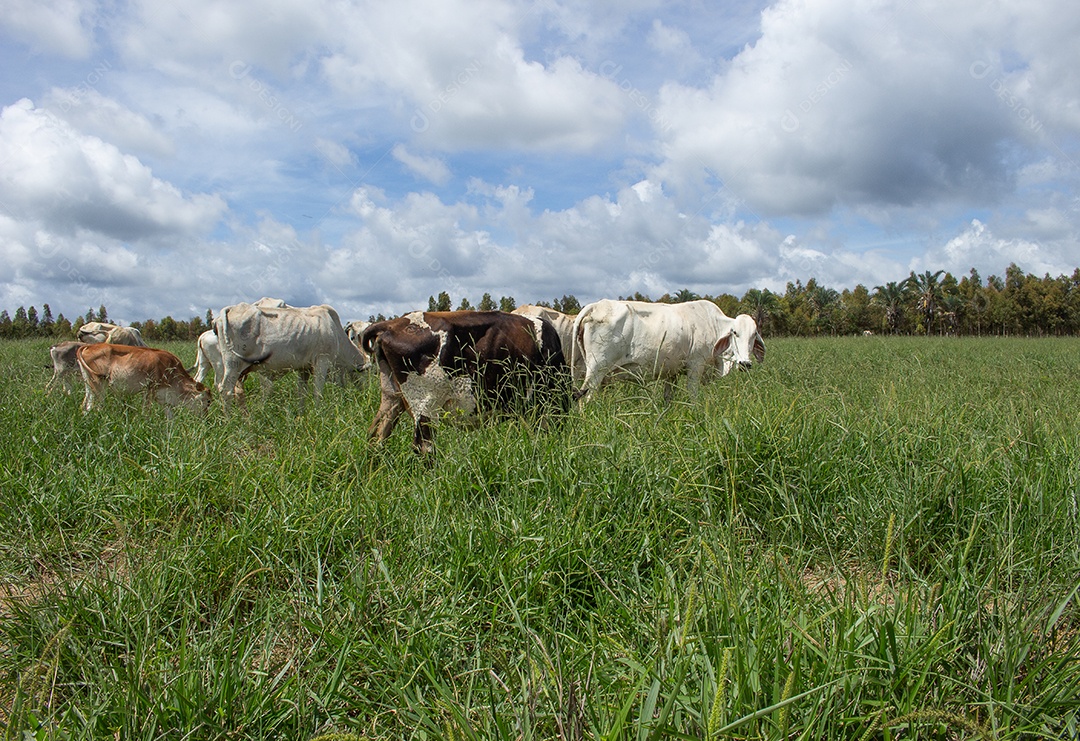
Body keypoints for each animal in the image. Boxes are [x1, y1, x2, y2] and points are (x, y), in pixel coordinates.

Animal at [76, 343, 212, 414]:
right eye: (208, 401)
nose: (206, 417)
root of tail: (89, 346)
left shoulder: (165, 400)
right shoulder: (149, 389)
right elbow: (146, 411)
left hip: (89, 385)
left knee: (85, 406)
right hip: (99, 385)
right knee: (96, 406)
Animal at [212, 298, 369, 408]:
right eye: (364, 373)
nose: (364, 393)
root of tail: (230, 309)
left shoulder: (304, 368)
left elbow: (302, 394)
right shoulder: (322, 362)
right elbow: (317, 393)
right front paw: (319, 414)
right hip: (233, 365)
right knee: (226, 391)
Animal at [570, 298, 764, 403]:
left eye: (754, 335)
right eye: (735, 332)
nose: (745, 363)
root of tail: (596, 305)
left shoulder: (671, 372)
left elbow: (668, 398)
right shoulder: (696, 365)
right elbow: (693, 396)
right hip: (596, 370)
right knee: (585, 400)